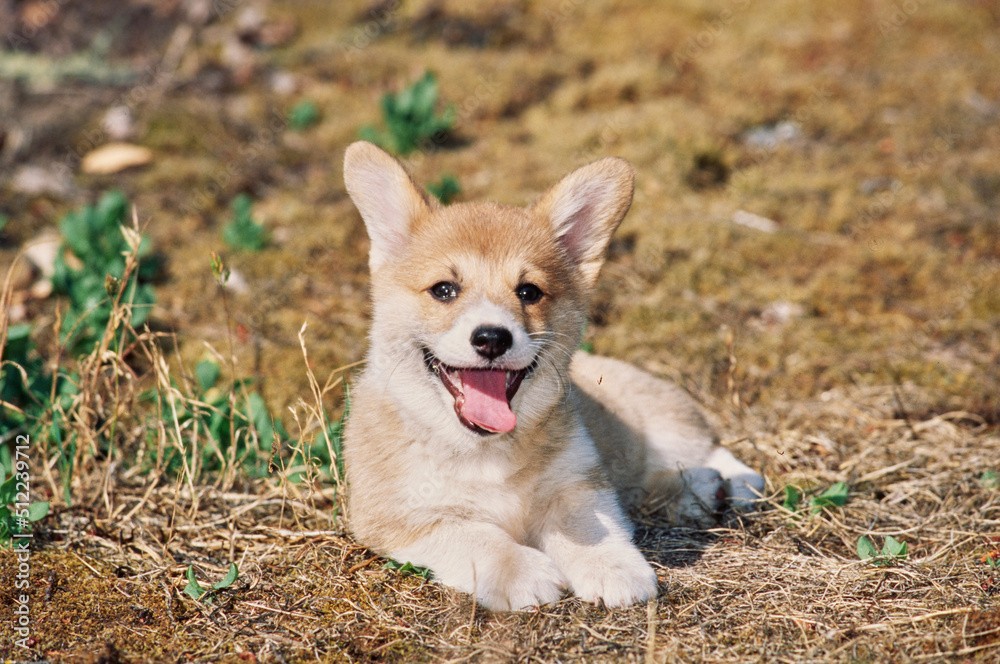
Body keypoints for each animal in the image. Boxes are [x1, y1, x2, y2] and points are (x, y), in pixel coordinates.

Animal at [340, 143, 760, 608]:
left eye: (529, 292)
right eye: (444, 290)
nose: (492, 338)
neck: (484, 450)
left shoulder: (579, 485)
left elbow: (587, 528)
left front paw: (614, 570)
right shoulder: (401, 518)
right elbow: (474, 536)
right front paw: (521, 573)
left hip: (661, 423)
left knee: (704, 447)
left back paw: (734, 484)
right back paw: (698, 490)